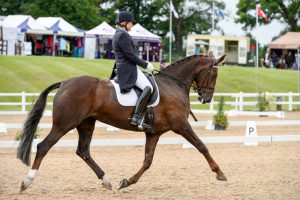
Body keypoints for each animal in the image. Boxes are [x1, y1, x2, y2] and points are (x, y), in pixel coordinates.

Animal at [17, 54, 226, 192]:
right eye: (214, 74)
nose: (206, 99)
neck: (173, 84)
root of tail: (64, 83)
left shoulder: (154, 133)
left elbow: (147, 161)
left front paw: (127, 181)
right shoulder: (181, 125)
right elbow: (202, 146)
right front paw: (220, 173)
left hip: (86, 123)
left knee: (83, 151)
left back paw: (106, 180)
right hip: (64, 124)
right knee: (43, 146)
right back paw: (27, 181)